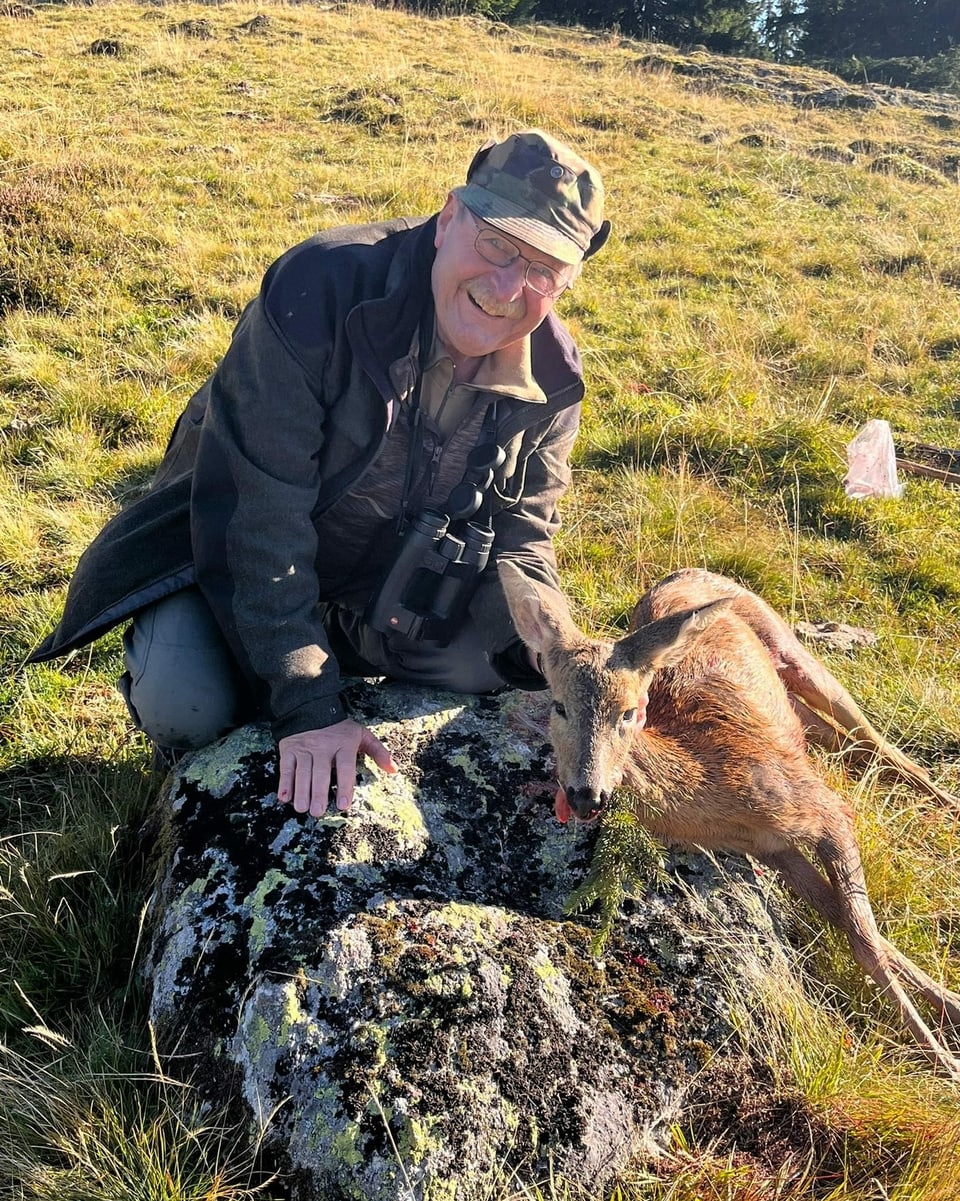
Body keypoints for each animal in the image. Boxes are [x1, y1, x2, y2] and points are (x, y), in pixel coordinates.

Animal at [499, 562, 960, 1080]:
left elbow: (864, 936)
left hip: (787, 642)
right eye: (558, 706)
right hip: (786, 699)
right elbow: (850, 921)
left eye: (630, 712)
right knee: (836, 736)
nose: (585, 795)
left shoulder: (826, 808)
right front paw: (950, 1011)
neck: (711, 791)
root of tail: (683, 573)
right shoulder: (769, 848)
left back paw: (946, 802)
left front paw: (941, 1056)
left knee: (871, 737)